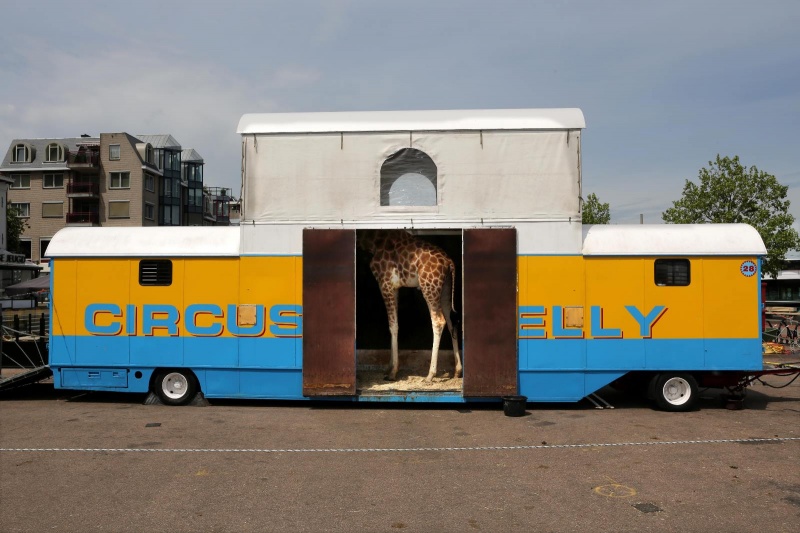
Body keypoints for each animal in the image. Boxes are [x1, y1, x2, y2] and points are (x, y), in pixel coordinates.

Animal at [358, 231, 462, 380]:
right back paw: (457, 371)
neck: (373, 242)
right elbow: (393, 324)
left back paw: (430, 375)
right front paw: (388, 368)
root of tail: (449, 263)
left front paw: (393, 372)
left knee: (438, 321)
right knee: (451, 321)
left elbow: (393, 326)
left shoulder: (385, 283)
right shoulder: (394, 287)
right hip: (446, 289)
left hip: (429, 288)